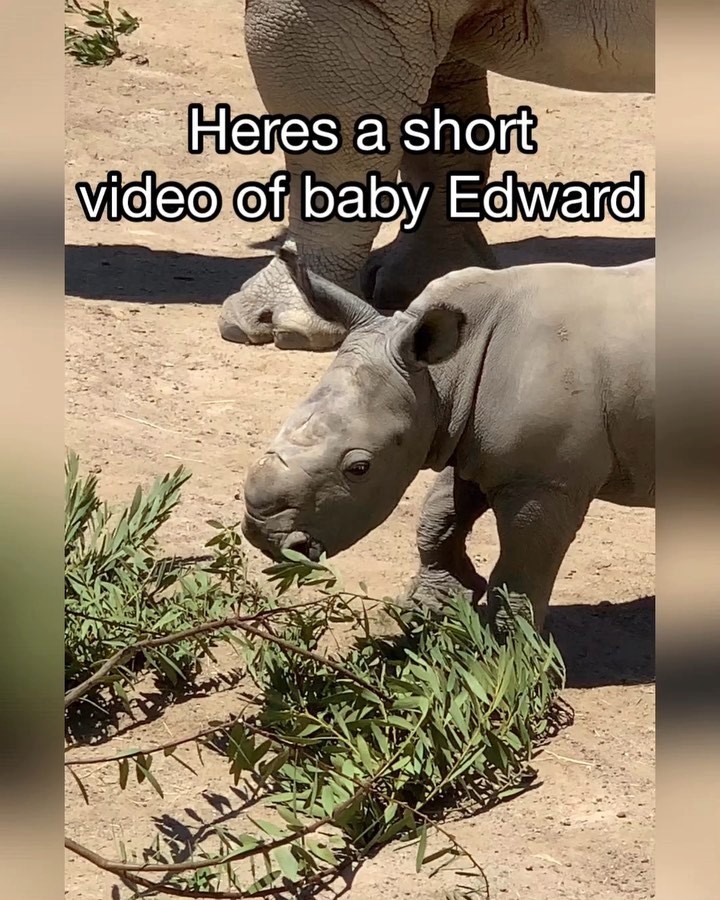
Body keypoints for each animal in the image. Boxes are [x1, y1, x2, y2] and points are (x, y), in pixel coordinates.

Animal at [242, 245, 654, 628]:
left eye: (359, 468)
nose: (262, 535)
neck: (445, 373)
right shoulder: (469, 439)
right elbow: (438, 517)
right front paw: (429, 606)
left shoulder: (544, 480)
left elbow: (520, 572)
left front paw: (510, 650)